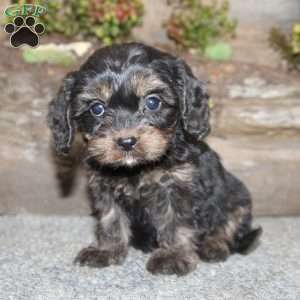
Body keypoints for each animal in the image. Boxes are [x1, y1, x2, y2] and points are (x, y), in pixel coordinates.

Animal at [48, 42, 262, 276]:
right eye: (97, 108)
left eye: (152, 102)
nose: (126, 142)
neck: (136, 169)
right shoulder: (104, 187)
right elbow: (110, 219)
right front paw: (106, 250)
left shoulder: (177, 186)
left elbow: (175, 221)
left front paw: (173, 255)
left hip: (237, 196)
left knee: (228, 226)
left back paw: (213, 245)